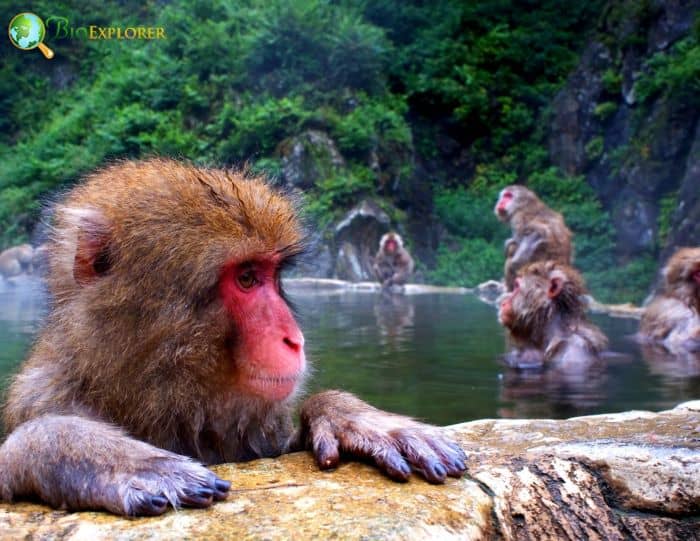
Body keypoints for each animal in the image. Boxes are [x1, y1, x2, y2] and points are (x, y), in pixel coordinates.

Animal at [0, 159, 466, 517]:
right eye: (245, 278)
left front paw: (349, 415)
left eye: (271, 277)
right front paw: (106, 456)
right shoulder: (42, 395)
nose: (294, 340)